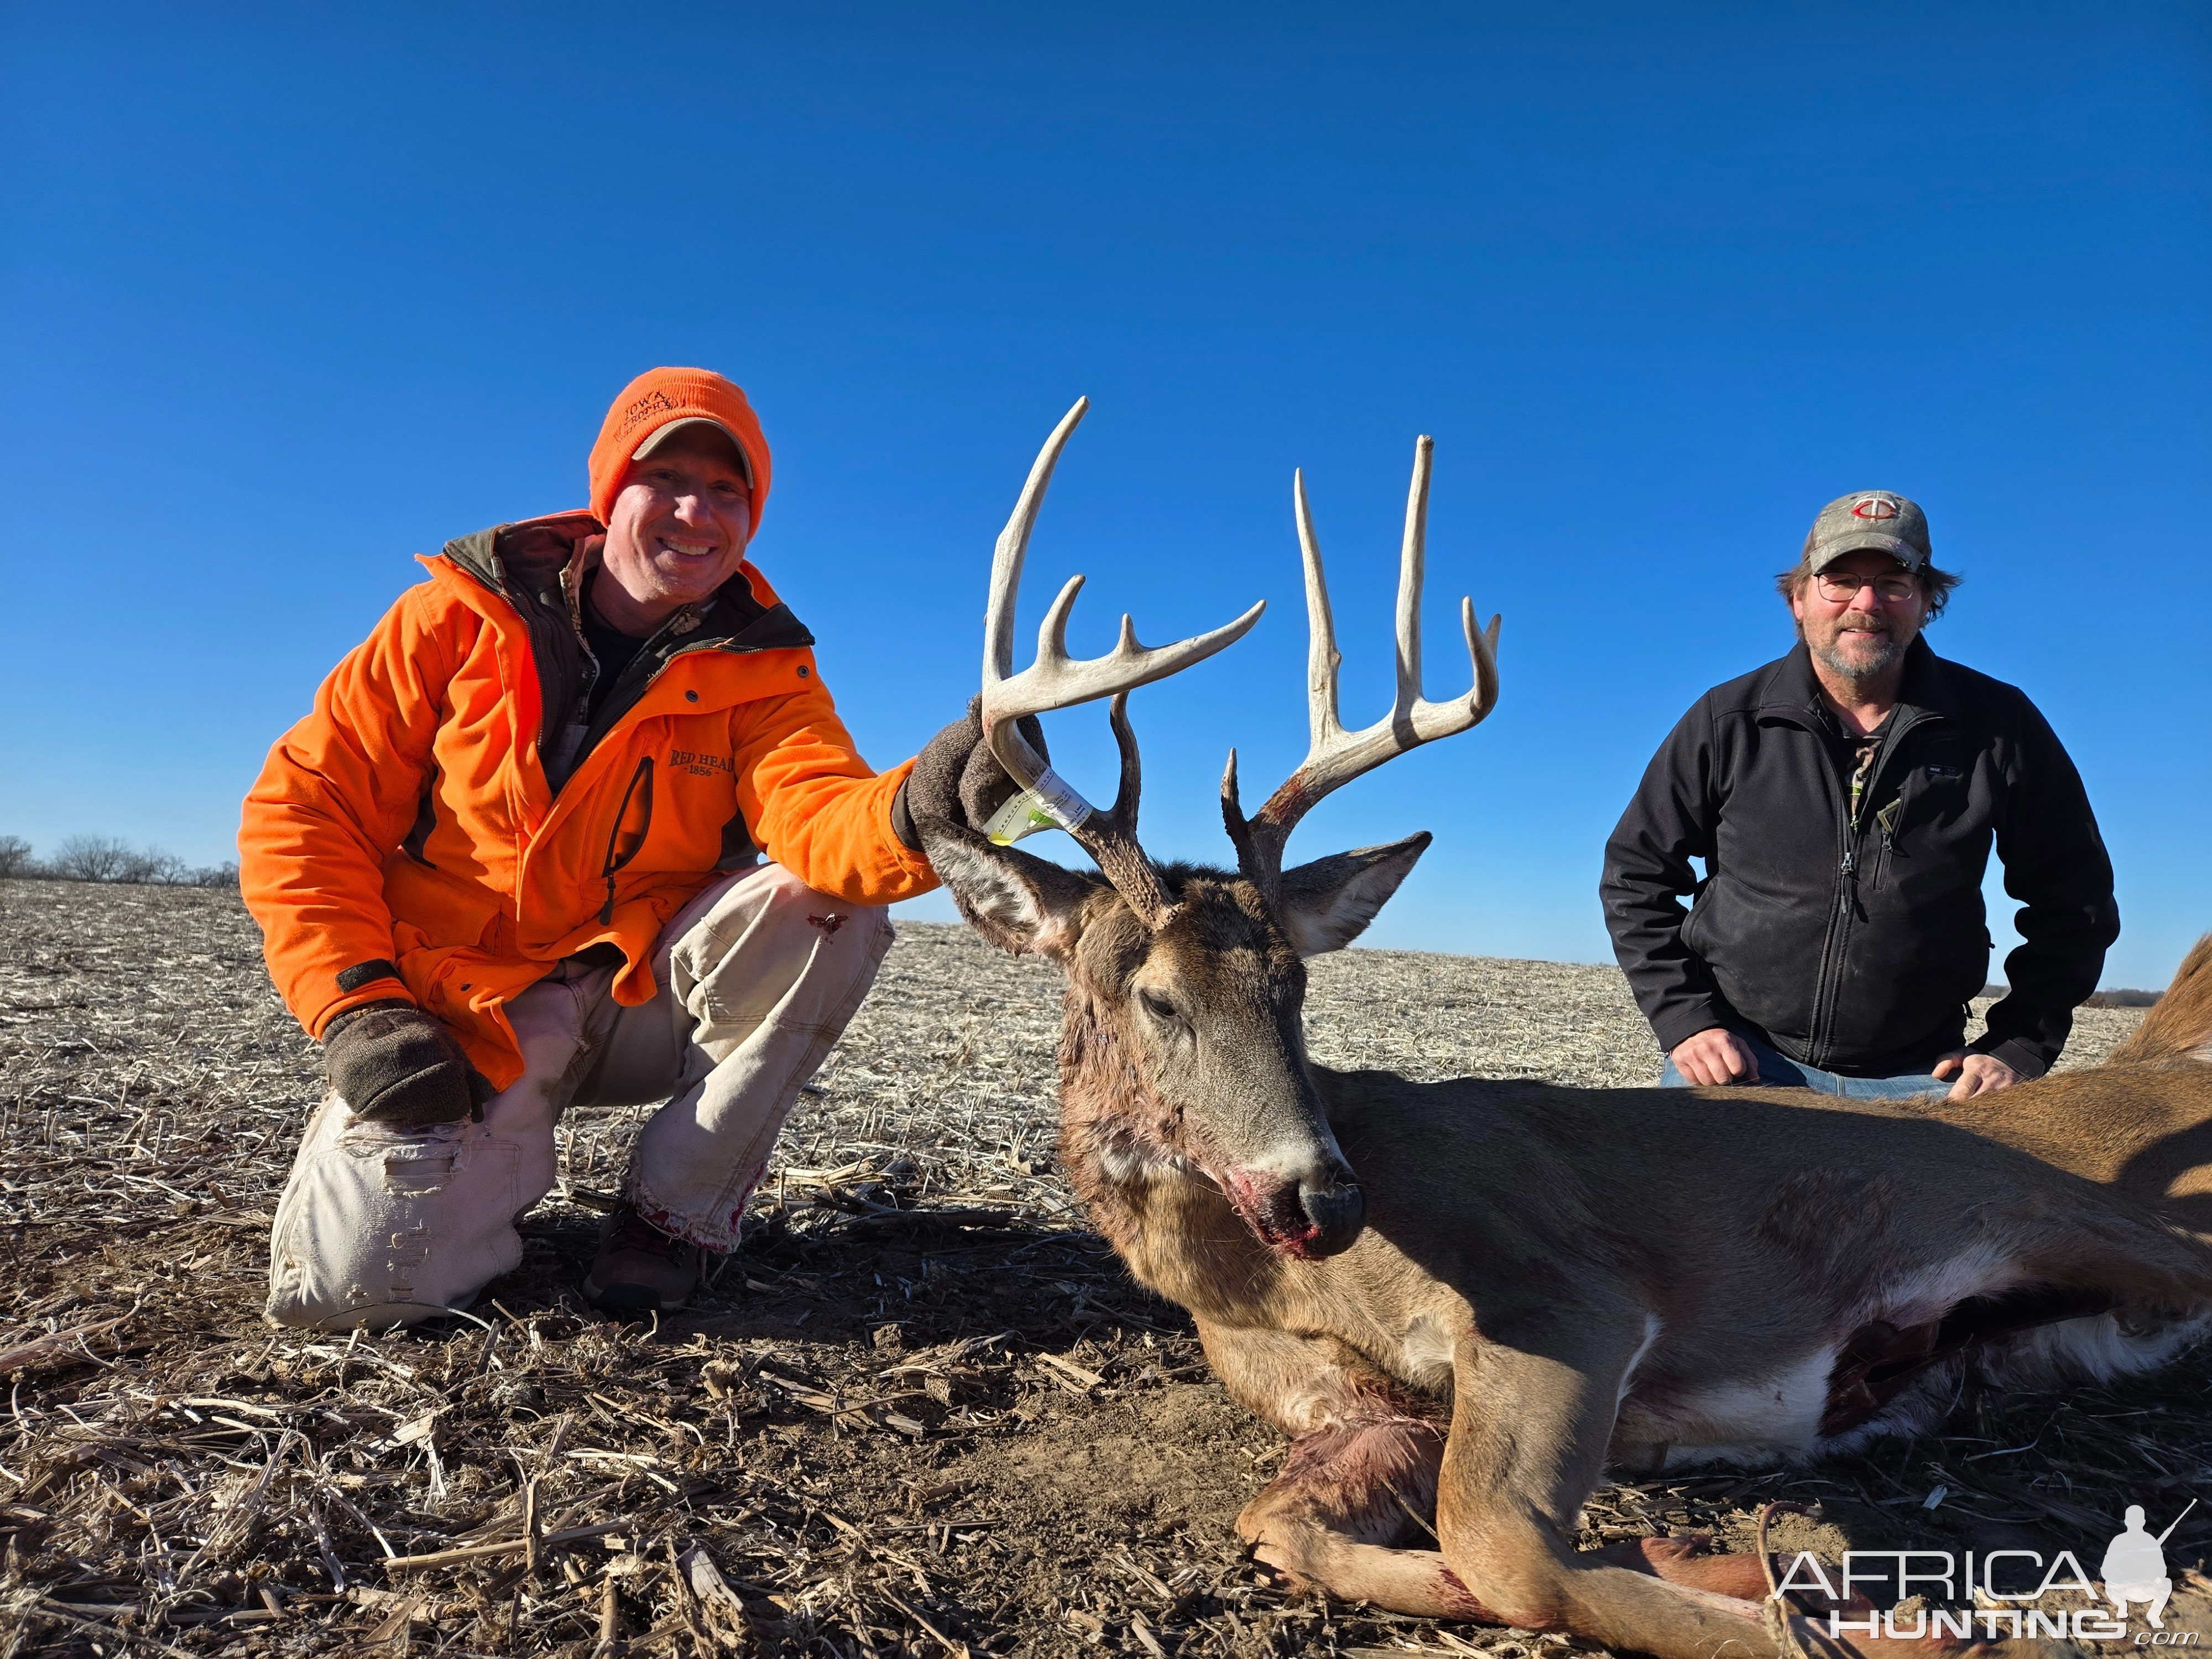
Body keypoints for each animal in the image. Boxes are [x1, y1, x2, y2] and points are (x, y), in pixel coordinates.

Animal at [907, 407, 2212, 1659]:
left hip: (2104, 1218)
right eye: (1158, 996)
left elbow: (1502, 1547)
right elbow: (1278, 1524)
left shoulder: (1561, 1292)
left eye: (1295, 987)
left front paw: (1885, 1624)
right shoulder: (1356, 1402)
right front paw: (1725, 1567)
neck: (1268, 1289)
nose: (1321, 1196)